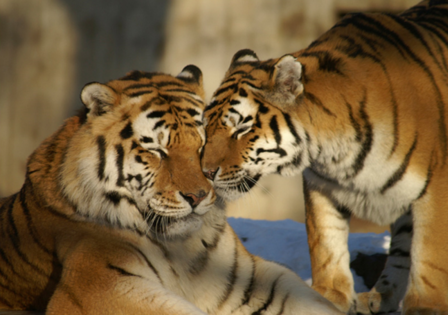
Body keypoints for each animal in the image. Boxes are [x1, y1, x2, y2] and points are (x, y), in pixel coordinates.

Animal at [0, 65, 344, 314]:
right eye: (156, 150)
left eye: (203, 143)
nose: (198, 196)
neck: (183, 247)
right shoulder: (99, 286)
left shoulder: (247, 281)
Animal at [201, 1, 448, 314]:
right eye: (206, 125)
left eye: (241, 128)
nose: (206, 171)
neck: (333, 150)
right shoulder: (321, 185)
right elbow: (326, 243)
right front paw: (329, 297)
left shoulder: (436, 186)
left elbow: (430, 256)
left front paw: (426, 307)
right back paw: (379, 297)